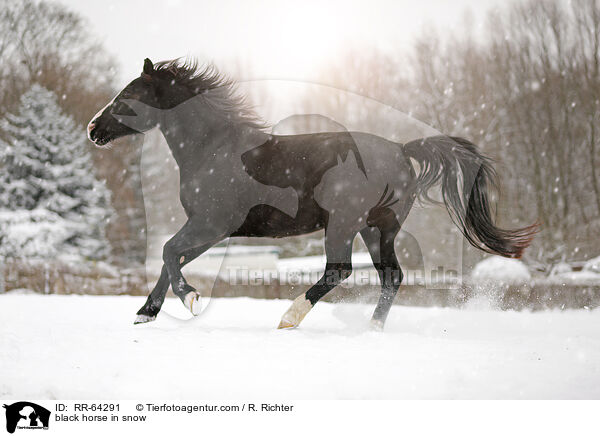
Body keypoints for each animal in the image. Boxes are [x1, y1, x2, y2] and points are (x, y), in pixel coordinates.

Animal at [86, 58, 536, 330]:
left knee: (339, 270)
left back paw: (291, 316)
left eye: (129, 97)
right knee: (391, 276)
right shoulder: (211, 230)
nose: (93, 129)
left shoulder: (211, 224)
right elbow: (171, 258)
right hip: (378, 228)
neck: (213, 149)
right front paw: (146, 313)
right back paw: (372, 329)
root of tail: (401, 149)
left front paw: (191, 300)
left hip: (343, 224)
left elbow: (167, 252)